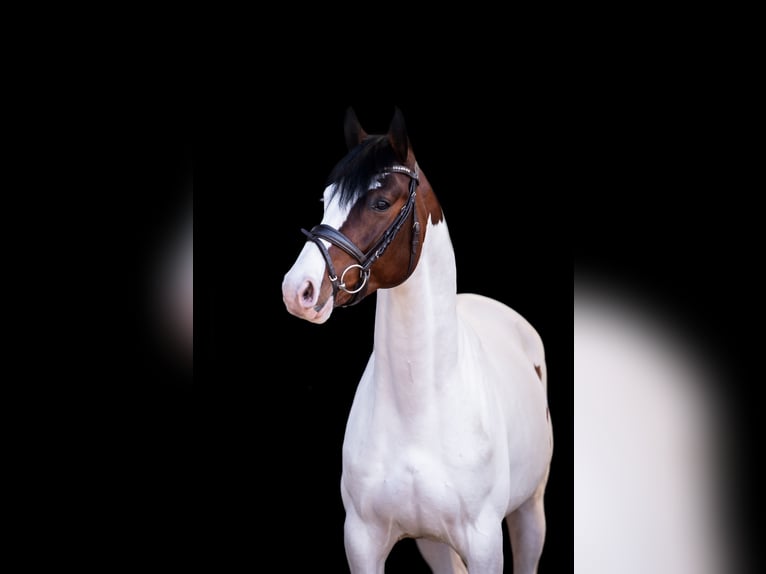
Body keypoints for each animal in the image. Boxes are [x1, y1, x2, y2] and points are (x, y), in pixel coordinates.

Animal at [281, 107, 553, 573]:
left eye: (380, 202)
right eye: (326, 199)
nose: (298, 289)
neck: (418, 410)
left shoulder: (485, 545)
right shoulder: (363, 543)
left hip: (530, 512)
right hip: (435, 544)